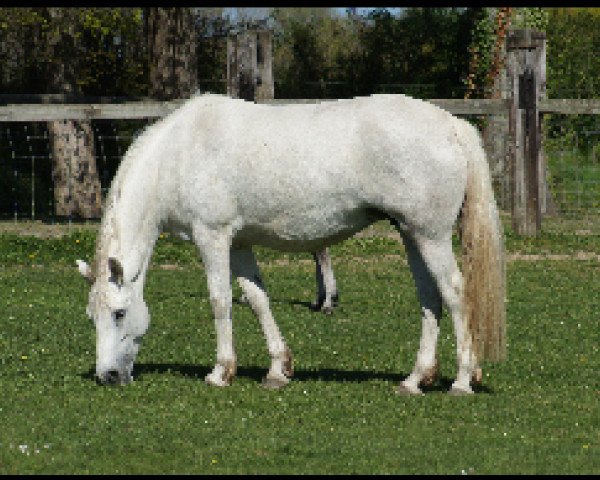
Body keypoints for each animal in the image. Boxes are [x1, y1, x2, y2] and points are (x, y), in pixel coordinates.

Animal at [76, 93, 506, 394]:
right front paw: (278, 370)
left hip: (430, 237)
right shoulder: (239, 243)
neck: (178, 155)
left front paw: (221, 371)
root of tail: (451, 124)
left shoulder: (212, 237)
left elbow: (220, 301)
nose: (107, 375)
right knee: (430, 298)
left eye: (119, 314)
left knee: (454, 293)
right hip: (411, 233)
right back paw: (416, 379)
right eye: (91, 317)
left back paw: (462, 380)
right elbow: (256, 299)